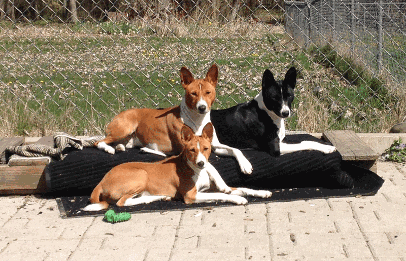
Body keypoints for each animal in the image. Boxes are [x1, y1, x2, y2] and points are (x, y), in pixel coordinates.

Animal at [84, 122, 272, 211]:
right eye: (191, 150)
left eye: (206, 148)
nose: (202, 163)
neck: (196, 170)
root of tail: (101, 181)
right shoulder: (191, 196)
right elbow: (222, 194)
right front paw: (238, 199)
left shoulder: (208, 188)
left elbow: (242, 187)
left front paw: (262, 192)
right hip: (141, 175)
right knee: (123, 202)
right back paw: (157, 197)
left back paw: (161, 197)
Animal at [96, 63, 254, 174]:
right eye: (193, 93)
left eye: (208, 92)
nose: (202, 107)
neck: (198, 121)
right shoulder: (187, 149)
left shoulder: (213, 145)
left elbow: (235, 149)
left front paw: (245, 164)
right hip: (124, 128)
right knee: (98, 142)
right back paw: (110, 149)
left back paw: (123, 147)